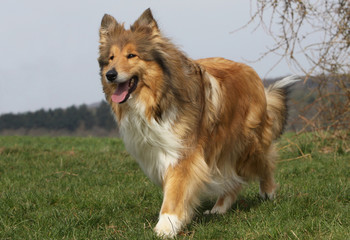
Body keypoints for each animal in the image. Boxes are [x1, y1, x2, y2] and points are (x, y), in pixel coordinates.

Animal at [98, 8, 298, 237]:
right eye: (111, 58)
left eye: (131, 55)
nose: (110, 75)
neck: (158, 99)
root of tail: (251, 72)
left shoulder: (184, 152)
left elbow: (175, 191)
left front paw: (166, 226)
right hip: (222, 147)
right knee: (231, 179)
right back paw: (219, 208)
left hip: (246, 144)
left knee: (265, 161)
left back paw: (268, 192)